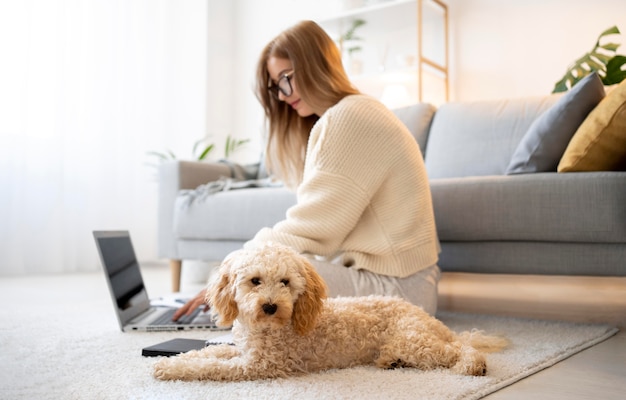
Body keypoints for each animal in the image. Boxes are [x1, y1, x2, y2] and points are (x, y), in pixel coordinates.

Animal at [154, 242, 504, 380]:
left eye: (285, 282)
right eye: (255, 281)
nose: (271, 306)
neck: (265, 329)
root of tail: (426, 316)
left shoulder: (259, 366)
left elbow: (210, 366)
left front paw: (170, 369)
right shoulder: (244, 351)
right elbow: (207, 353)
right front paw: (173, 360)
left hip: (415, 341)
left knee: (460, 348)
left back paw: (473, 364)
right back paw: (391, 361)